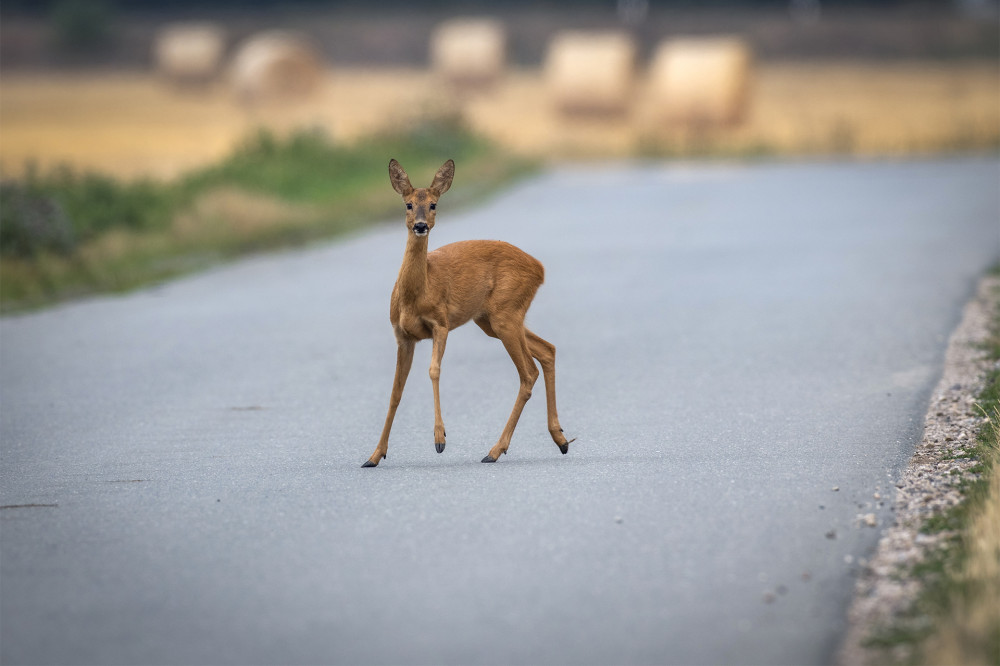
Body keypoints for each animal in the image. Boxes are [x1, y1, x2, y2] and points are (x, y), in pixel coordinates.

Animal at [364, 158, 576, 464]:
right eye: (408, 204)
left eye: (433, 204)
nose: (420, 226)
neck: (417, 294)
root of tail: (540, 269)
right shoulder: (402, 335)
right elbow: (395, 391)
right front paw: (374, 455)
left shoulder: (440, 322)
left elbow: (434, 370)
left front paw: (440, 439)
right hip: (491, 319)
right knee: (547, 349)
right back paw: (560, 439)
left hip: (506, 313)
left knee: (528, 372)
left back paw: (495, 450)